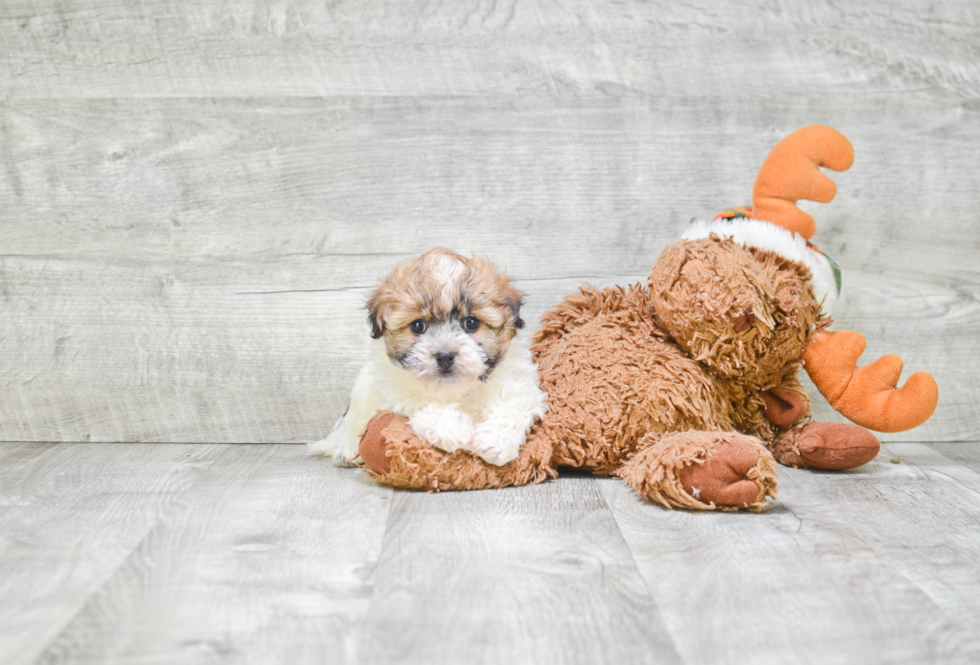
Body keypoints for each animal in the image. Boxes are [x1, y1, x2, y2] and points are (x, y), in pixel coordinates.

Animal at [310, 248, 548, 466]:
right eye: (418, 326)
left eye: (471, 323)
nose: (445, 355)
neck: (457, 390)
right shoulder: (397, 389)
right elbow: (424, 402)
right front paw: (453, 429)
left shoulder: (518, 383)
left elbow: (511, 406)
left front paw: (495, 442)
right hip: (362, 390)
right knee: (352, 424)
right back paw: (347, 449)